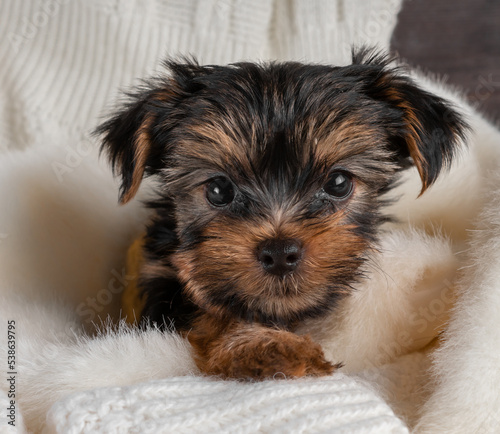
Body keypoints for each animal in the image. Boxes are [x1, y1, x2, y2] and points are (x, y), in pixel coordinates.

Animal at [96, 48, 464, 380]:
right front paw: (267, 346)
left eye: (338, 183)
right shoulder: (161, 281)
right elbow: (208, 311)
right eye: (218, 189)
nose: (279, 252)